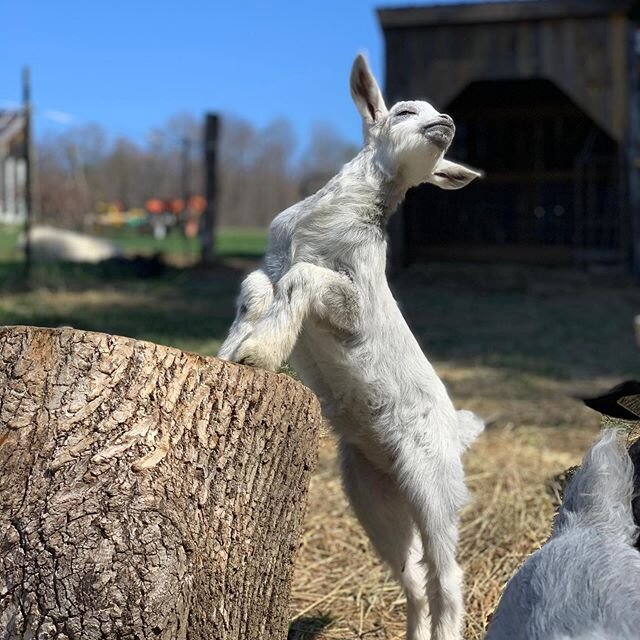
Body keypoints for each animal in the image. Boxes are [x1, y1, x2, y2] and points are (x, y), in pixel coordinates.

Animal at [220, 55, 484, 640]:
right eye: (405, 111)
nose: (447, 122)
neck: (322, 228)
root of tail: (456, 432)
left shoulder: (353, 301)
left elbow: (303, 280)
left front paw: (259, 353)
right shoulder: (272, 262)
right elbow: (254, 286)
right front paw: (234, 347)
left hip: (436, 486)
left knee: (449, 577)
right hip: (372, 494)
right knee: (414, 576)